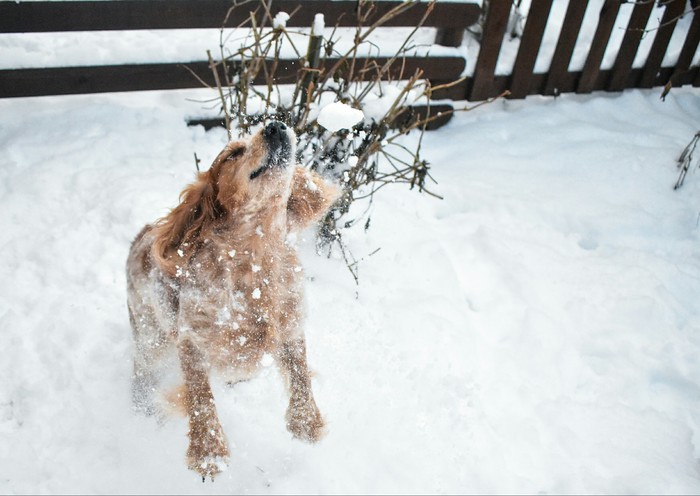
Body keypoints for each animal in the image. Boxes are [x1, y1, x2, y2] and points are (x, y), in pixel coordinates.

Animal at [129, 121, 342, 480]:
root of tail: (141, 236)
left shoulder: (290, 324)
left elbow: (299, 371)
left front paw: (305, 423)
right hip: (150, 338)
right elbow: (200, 396)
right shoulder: (192, 337)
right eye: (233, 154)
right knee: (142, 372)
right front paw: (208, 451)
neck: (255, 257)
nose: (276, 125)